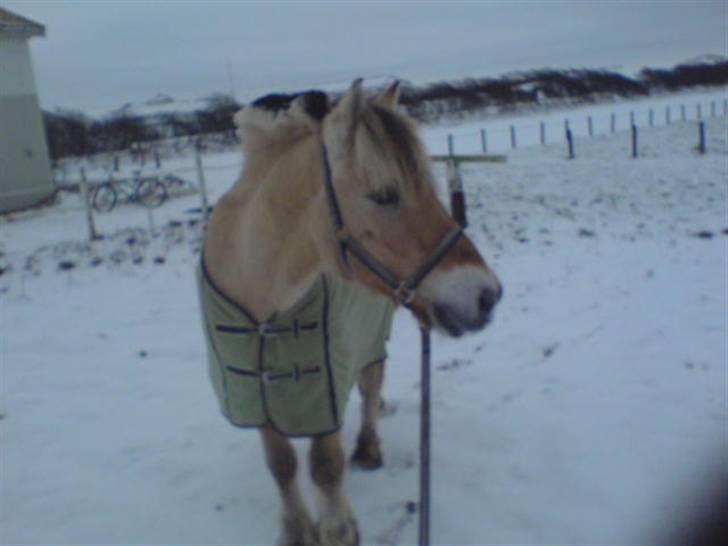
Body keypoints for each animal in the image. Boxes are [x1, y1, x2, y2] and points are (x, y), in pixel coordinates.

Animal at [199, 81, 504, 544]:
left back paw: (368, 447)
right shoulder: (253, 393)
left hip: (369, 339)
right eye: (384, 195)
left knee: (371, 386)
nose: (487, 295)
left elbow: (325, 467)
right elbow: (281, 464)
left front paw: (338, 529)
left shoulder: (324, 383)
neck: (264, 302)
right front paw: (297, 531)